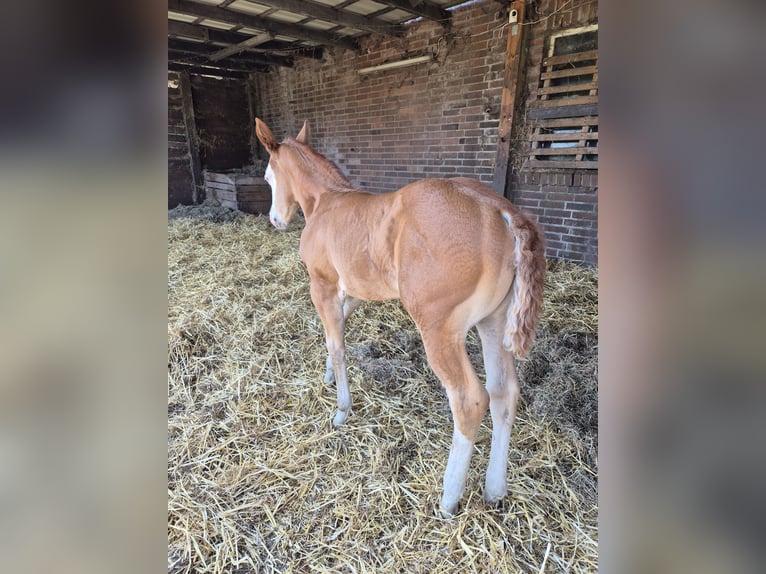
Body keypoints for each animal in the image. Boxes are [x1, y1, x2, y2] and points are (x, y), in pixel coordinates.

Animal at [255, 118, 546, 516]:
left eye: (268, 177)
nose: (275, 220)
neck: (326, 203)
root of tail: (500, 212)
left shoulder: (323, 284)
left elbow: (337, 343)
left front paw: (341, 411)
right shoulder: (355, 289)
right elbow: (336, 331)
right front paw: (328, 376)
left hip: (439, 328)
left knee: (470, 400)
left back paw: (449, 498)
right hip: (495, 321)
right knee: (504, 393)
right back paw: (494, 489)